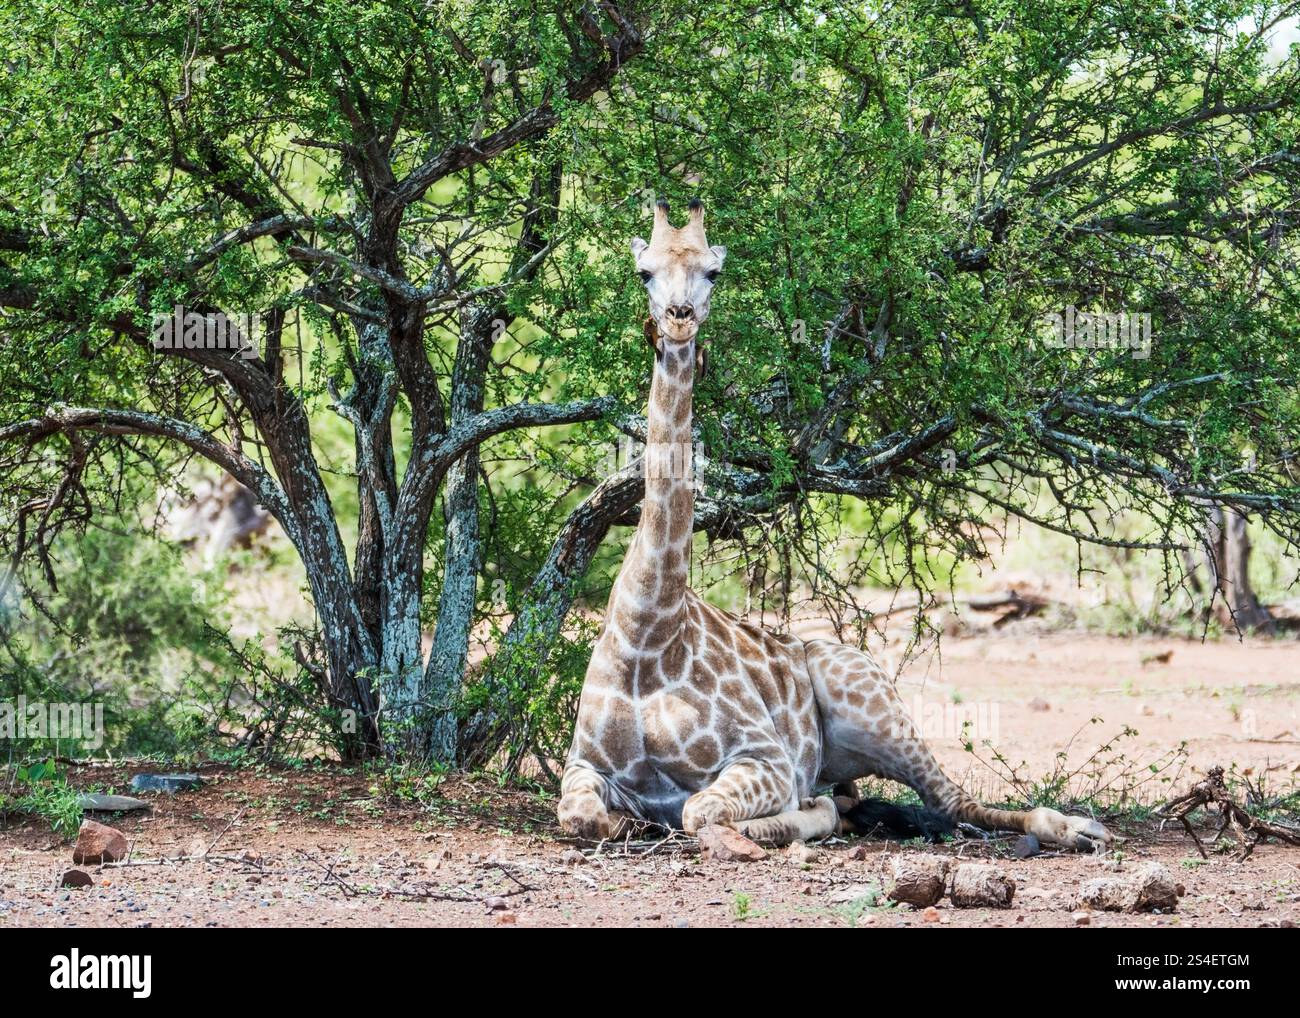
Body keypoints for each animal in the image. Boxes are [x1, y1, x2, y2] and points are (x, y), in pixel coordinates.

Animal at [558, 199, 1112, 851]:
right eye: (645, 272)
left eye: (713, 272)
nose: (679, 319)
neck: (648, 633)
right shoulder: (583, 765)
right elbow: (581, 815)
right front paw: (630, 820)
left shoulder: (767, 757)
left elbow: (700, 812)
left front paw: (775, 822)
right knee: (866, 799)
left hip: (874, 705)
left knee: (951, 800)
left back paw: (1078, 827)